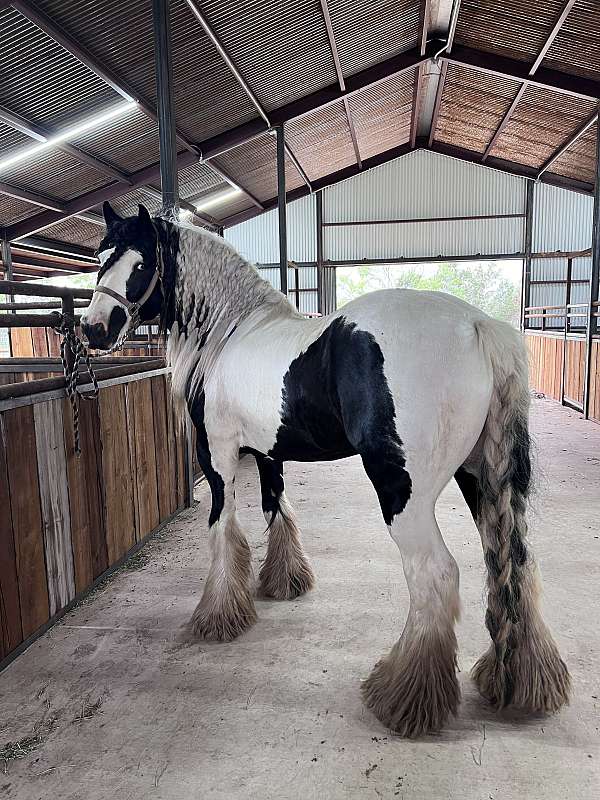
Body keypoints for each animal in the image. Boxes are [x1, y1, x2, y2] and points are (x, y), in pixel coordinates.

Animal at [81, 203, 572, 740]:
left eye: (141, 263)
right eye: (100, 257)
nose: (93, 328)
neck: (229, 333)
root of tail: (479, 327)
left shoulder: (220, 457)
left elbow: (222, 528)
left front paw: (219, 614)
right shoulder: (267, 452)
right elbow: (277, 510)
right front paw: (285, 583)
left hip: (403, 492)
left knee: (435, 574)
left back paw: (404, 697)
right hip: (481, 478)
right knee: (514, 562)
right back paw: (516, 681)